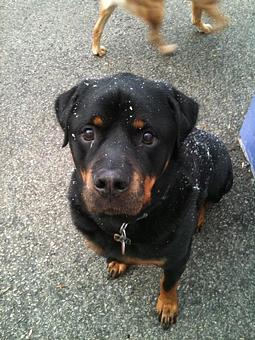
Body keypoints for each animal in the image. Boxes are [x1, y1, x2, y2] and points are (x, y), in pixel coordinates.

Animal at [55, 73, 233, 328]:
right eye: (88, 133)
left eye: (148, 136)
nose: (110, 182)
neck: (123, 222)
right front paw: (118, 261)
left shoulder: (177, 257)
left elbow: (168, 283)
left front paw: (167, 305)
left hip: (222, 181)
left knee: (206, 200)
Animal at [92, 0, 229, 56]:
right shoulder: (206, 2)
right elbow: (224, 22)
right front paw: (211, 29)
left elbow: (196, 17)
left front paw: (202, 27)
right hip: (157, 9)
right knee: (152, 36)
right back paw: (166, 49)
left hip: (108, 8)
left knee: (96, 29)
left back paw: (96, 49)